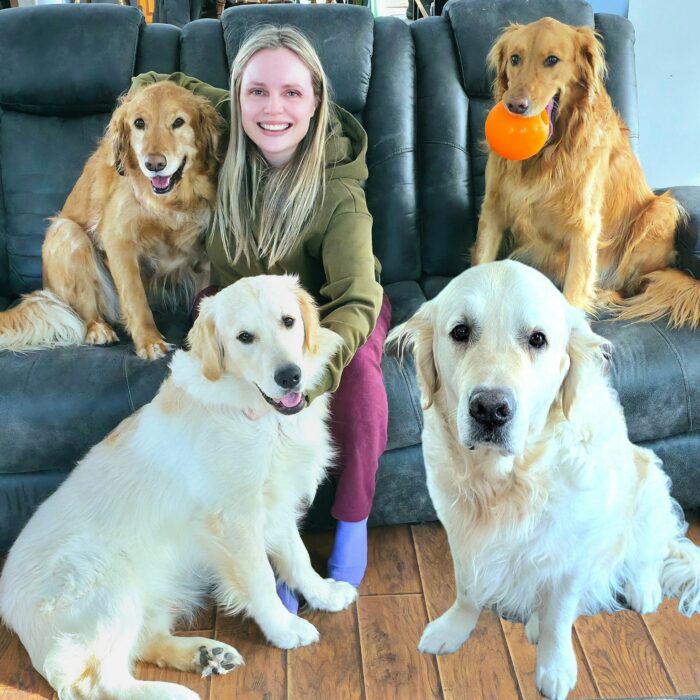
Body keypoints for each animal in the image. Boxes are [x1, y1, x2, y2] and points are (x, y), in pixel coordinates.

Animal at [0, 81, 222, 360]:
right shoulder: (119, 241)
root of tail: (47, 290)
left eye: (178, 122)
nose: (154, 164)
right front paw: (149, 341)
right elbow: (136, 299)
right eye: (139, 123)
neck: (168, 203)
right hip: (67, 234)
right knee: (85, 312)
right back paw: (98, 329)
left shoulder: (203, 255)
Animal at [0, 274, 356, 700]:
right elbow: (261, 580)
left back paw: (207, 654)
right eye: (244, 337)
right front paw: (284, 628)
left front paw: (324, 594)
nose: (290, 376)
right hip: (108, 580)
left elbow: (298, 557)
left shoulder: (274, 502)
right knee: (98, 682)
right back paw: (174, 692)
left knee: (143, 643)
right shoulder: (235, 520)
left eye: (288, 321)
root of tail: (8, 606)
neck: (253, 412)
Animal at [387, 260, 700, 700]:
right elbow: (467, 589)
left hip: (649, 477)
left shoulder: (572, 552)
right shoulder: (461, 533)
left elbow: (558, 615)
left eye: (538, 339)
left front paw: (554, 667)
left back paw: (644, 590)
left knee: (646, 552)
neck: (508, 481)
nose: (490, 409)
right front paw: (453, 628)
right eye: (460, 332)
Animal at [471, 17, 699, 328]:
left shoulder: (584, 227)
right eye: (515, 59)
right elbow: (481, 260)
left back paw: (604, 295)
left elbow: (575, 289)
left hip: (660, 212)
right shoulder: (494, 208)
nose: (515, 106)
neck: (547, 156)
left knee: (636, 285)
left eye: (552, 60)